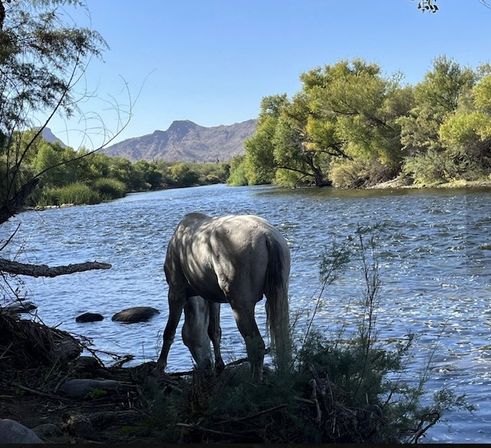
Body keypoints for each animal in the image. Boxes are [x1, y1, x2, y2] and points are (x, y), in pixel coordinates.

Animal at [156, 212, 290, 380]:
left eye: (187, 341)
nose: (206, 365)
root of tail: (268, 237)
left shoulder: (176, 291)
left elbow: (169, 331)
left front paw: (160, 366)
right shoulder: (212, 298)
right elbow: (214, 331)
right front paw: (219, 367)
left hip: (241, 306)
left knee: (256, 345)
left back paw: (254, 381)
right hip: (280, 295)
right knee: (282, 339)